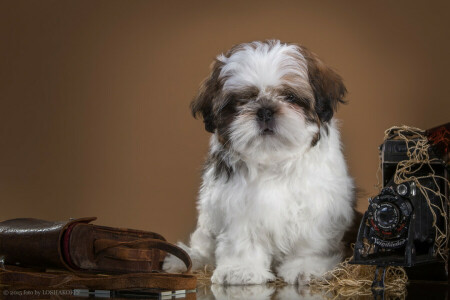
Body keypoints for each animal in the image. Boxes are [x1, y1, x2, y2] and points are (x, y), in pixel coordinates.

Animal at [163, 40, 354, 286]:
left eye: (290, 97)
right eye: (242, 101)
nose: (265, 111)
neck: (272, 159)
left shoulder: (317, 204)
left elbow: (310, 240)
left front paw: (306, 266)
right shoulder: (237, 204)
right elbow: (242, 238)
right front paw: (242, 269)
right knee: (202, 244)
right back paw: (187, 259)